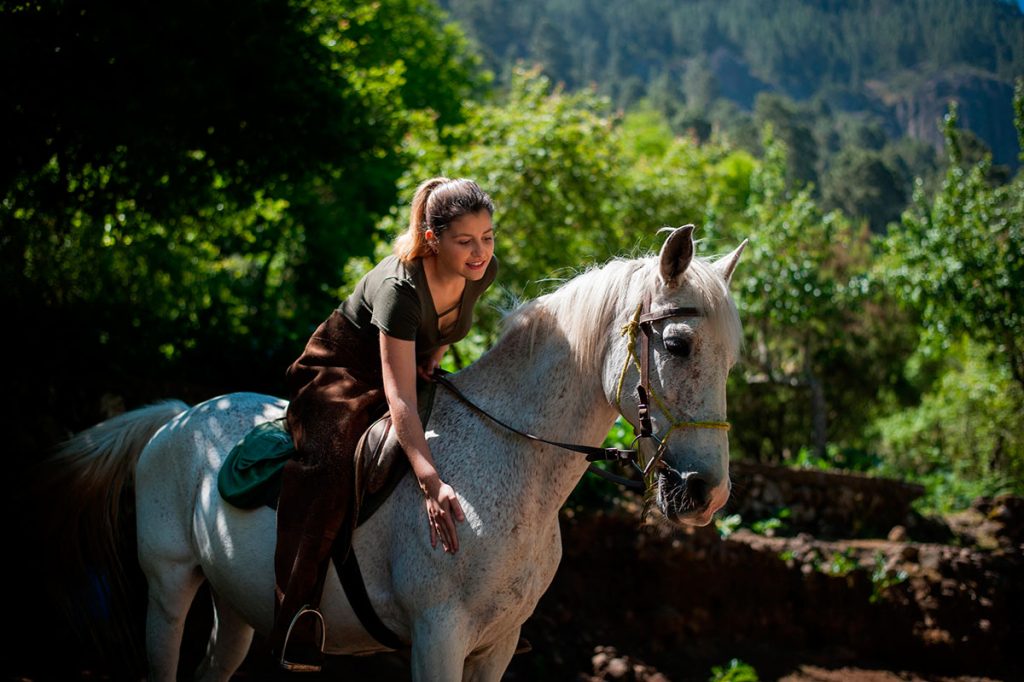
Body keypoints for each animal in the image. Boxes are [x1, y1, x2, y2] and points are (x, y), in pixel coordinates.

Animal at [51, 225, 745, 681]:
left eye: (734, 360)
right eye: (677, 345)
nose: (706, 493)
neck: (510, 467)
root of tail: (180, 417)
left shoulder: (495, 647)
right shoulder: (438, 639)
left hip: (236, 608)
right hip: (169, 586)